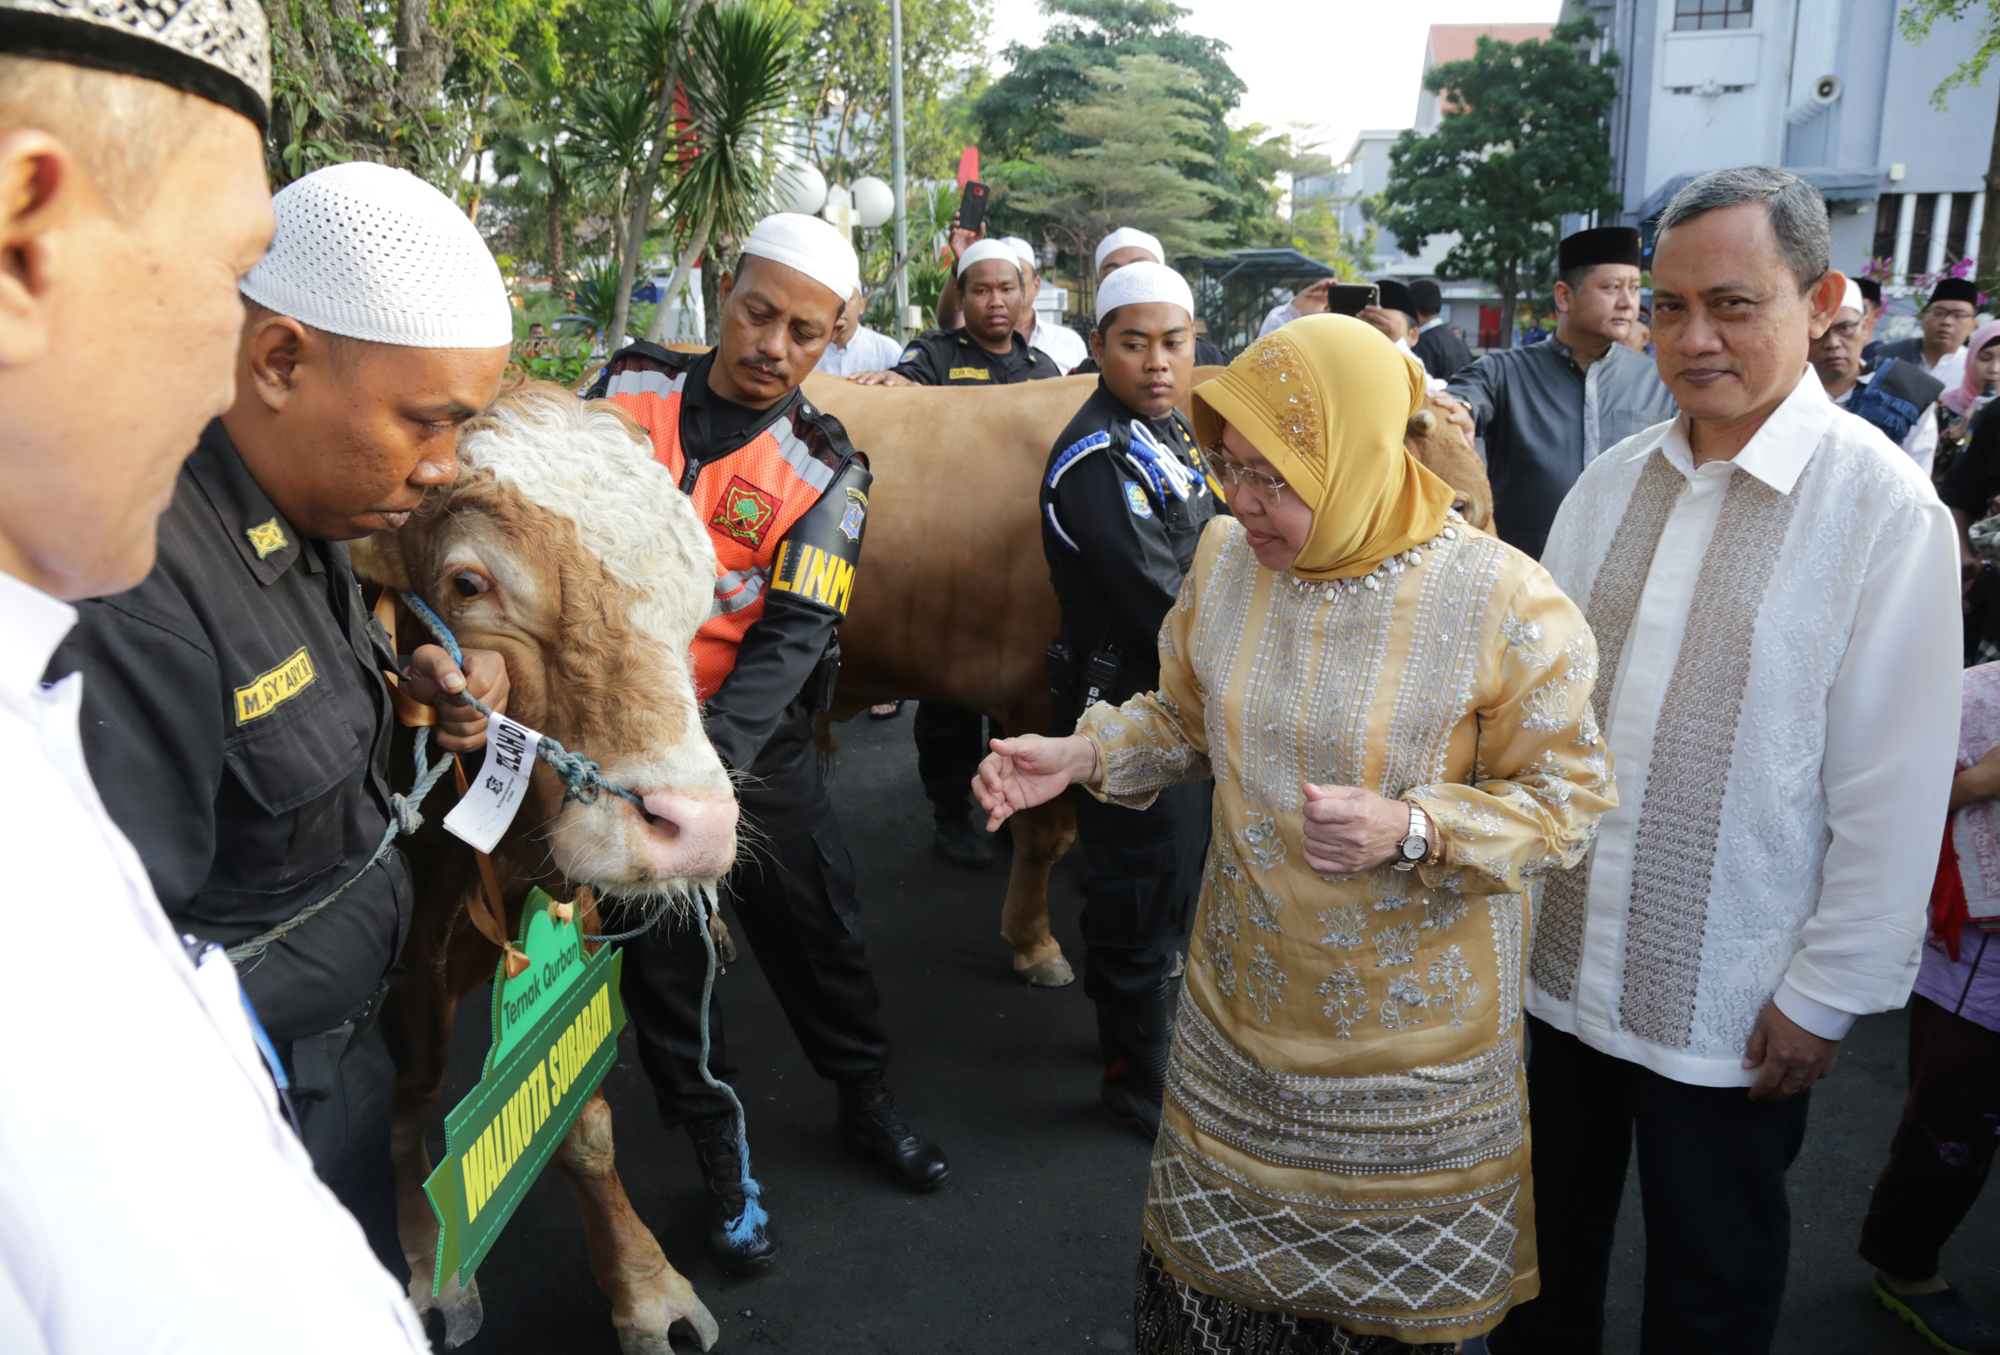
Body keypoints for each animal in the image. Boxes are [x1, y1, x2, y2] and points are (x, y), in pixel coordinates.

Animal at [356, 381, 740, 1355]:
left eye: (699, 593)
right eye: (468, 582)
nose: (695, 827)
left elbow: (582, 1117)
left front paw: (646, 1288)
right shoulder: (403, 971)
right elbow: (412, 1098)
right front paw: (429, 1260)